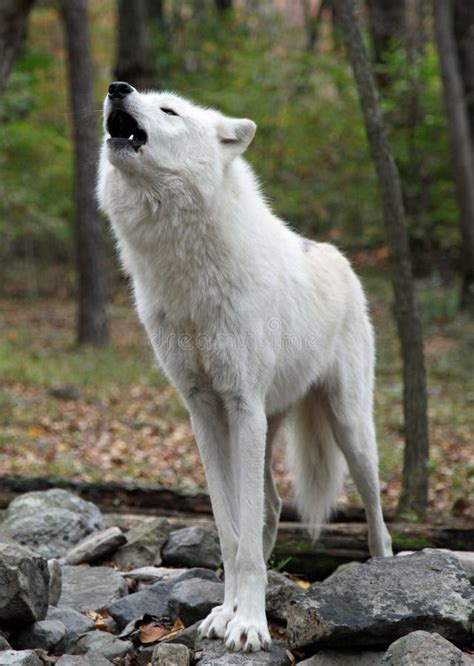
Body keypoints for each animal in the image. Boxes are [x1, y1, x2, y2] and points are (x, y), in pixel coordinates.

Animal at [97, 80, 392, 652]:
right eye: (139, 94)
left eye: (169, 110)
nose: (117, 87)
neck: (184, 272)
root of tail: (338, 256)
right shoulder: (205, 413)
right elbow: (233, 535)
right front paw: (224, 614)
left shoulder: (241, 406)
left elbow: (248, 538)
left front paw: (251, 625)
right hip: (270, 421)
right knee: (273, 507)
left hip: (347, 428)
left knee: (376, 517)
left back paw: (387, 572)